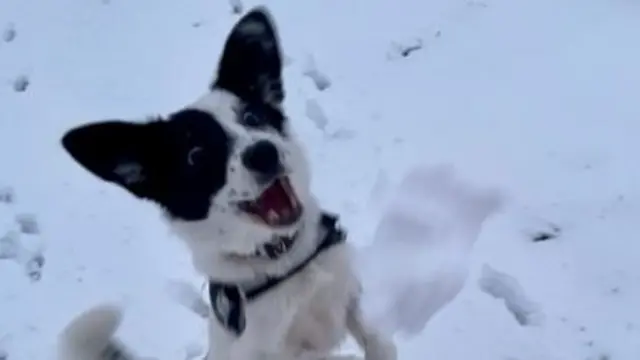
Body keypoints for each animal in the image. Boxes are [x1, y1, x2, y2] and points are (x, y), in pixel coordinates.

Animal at [56, 5, 396, 360]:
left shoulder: (346, 295)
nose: (264, 153)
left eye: (252, 118)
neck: (282, 261)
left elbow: (376, 338)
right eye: (196, 156)